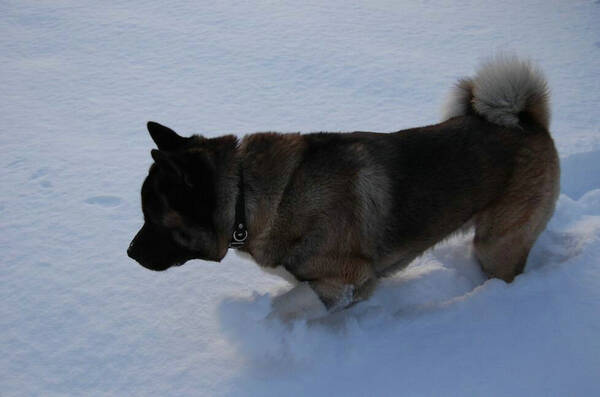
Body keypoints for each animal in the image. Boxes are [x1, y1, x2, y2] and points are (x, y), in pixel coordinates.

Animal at [129, 55, 560, 318]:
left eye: (154, 217)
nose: (130, 253)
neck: (246, 197)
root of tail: (527, 121)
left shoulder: (348, 280)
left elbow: (286, 304)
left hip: (497, 243)